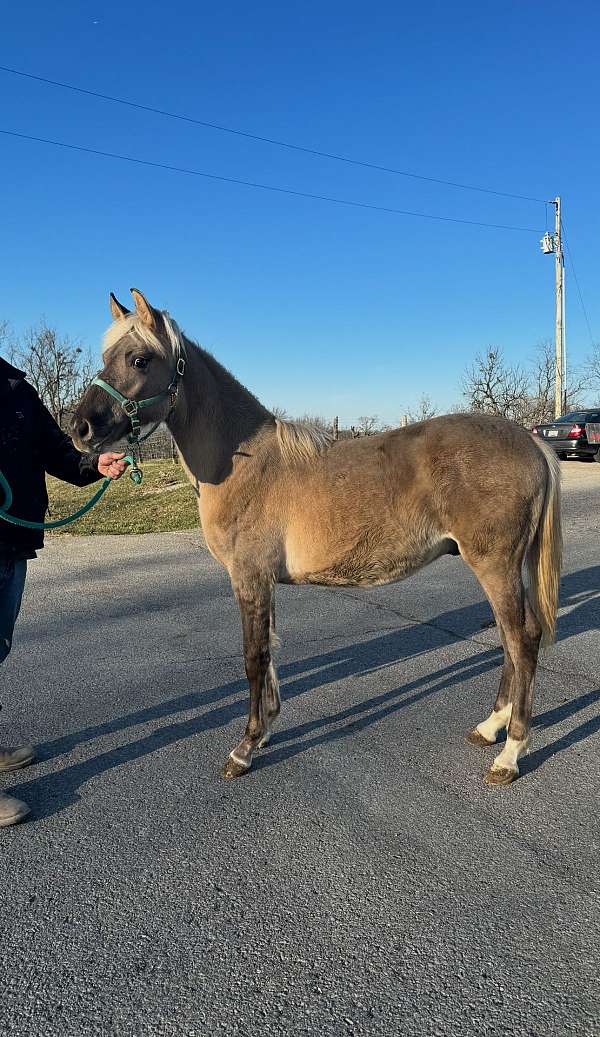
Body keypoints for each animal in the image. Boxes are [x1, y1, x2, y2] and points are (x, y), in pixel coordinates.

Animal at [71, 290, 563, 783]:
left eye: (139, 359)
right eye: (105, 357)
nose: (80, 429)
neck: (245, 463)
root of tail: (531, 441)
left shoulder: (249, 578)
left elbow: (254, 658)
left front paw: (245, 748)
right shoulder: (263, 583)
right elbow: (269, 653)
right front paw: (265, 730)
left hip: (495, 564)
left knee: (522, 641)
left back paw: (510, 753)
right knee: (510, 640)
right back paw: (490, 727)